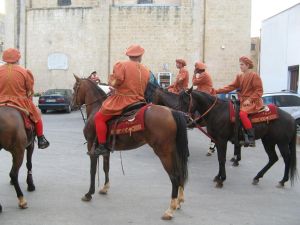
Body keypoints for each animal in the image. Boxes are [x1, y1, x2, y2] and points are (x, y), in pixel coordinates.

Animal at [72, 76, 189, 221]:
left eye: (74, 87)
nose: (72, 104)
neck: (96, 108)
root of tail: (172, 112)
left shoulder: (91, 147)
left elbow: (92, 171)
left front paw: (89, 193)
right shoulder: (105, 150)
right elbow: (106, 168)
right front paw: (105, 188)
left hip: (164, 153)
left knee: (174, 176)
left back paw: (170, 209)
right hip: (173, 151)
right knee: (180, 173)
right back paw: (179, 201)